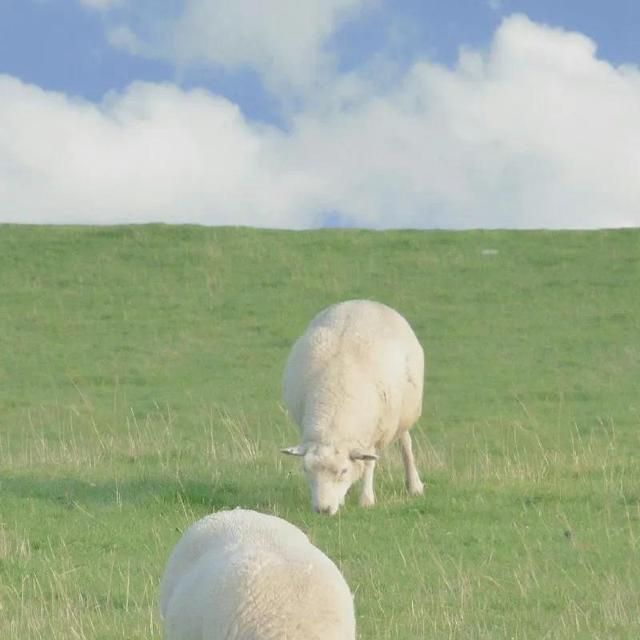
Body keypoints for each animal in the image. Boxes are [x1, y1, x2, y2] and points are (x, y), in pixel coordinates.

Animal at [282, 300, 424, 516]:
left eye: (343, 471)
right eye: (306, 470)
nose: (322, 510)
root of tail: (365, 301)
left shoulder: (374, 434)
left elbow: (368, 464)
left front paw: (367, 499)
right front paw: (341, 501)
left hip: (403, 414)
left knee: (405, 442)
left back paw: (414, 485)